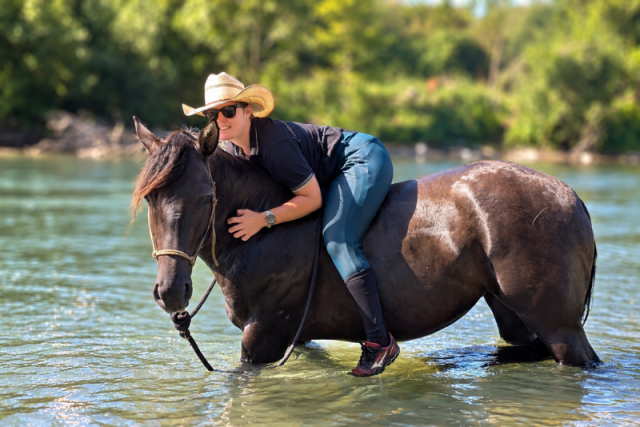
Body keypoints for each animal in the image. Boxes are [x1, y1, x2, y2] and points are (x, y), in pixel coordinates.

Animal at [132, 117, 601, 367]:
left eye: (205, 197)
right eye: (150, 198)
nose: (171, 291)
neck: (263, 232)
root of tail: (571, 196)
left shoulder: (261, 336)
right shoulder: (295, 339)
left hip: (560, 326)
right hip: (512, 314)